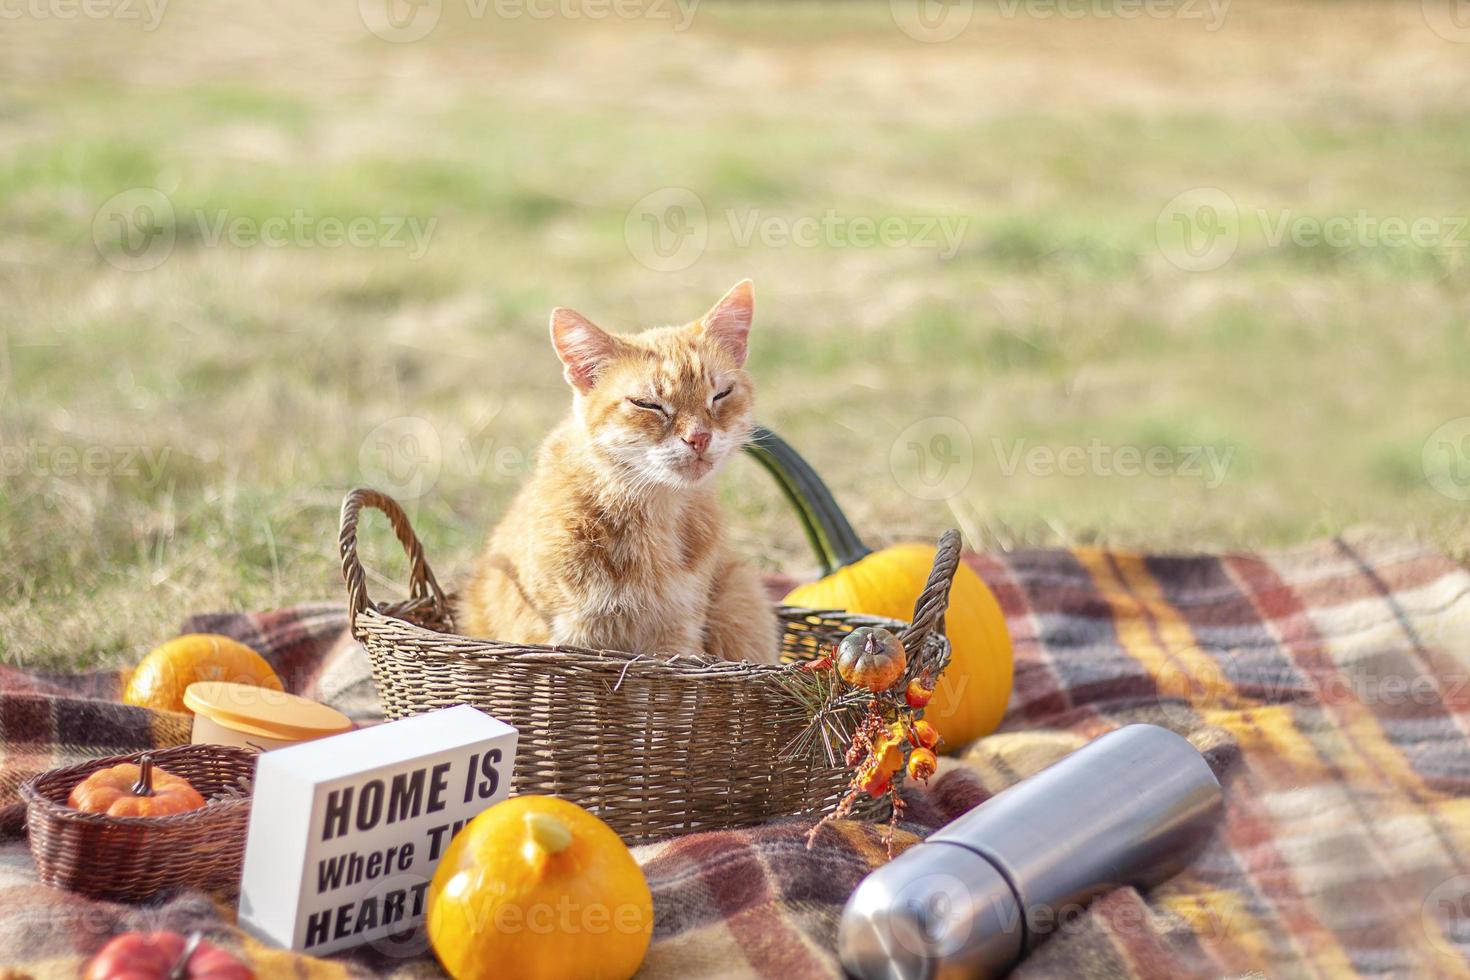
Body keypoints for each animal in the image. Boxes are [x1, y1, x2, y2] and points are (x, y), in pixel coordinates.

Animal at [458, 282, 782, 667]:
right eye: (648, 404)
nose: (699, 437)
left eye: (721, 395)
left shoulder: (676, 638)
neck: (652, 516)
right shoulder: (562, 639)